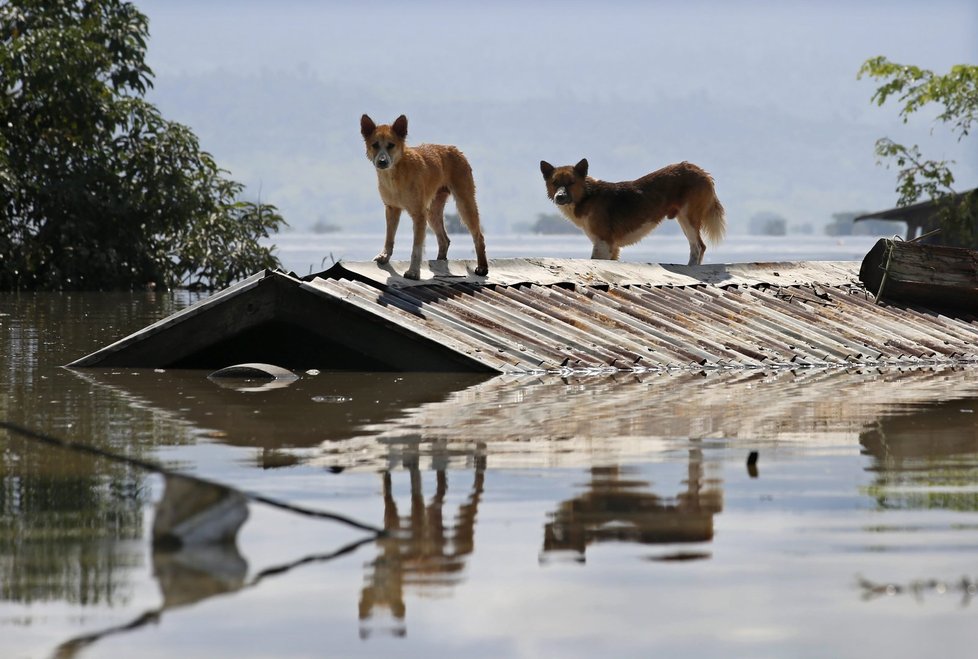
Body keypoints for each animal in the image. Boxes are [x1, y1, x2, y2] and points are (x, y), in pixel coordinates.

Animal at [358, 114, 488, 280]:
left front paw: (413, 272)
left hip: (464, 203)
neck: (395, 175)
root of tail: (455, 149)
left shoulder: (419, 215)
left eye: (391, 145)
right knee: (444, 240)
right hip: (432, 212)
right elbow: (389, 237)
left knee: (479, 236)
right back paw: (440, 261)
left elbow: (417, 248)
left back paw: (482, 267)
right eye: (375, 145)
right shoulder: (392, 209)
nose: (382, 161)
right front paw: (384, 256)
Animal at [536, 159, 720, 264]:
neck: (587, 196)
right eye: (555, 183)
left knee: (698, 247)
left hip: (688, 216)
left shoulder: (603, 243)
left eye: (571, 183)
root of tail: (701, 171)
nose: (559, 197)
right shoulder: (613, 248)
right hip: (683, 218)